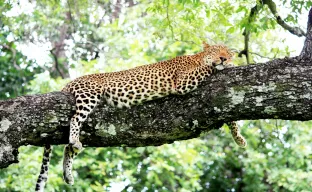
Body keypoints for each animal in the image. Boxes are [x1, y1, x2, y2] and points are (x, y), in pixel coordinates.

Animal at [34, 41, 246, 191]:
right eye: (217, 50)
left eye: (227, 52)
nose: (224, 58)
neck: (197, 57)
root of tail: (71, 82)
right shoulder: (183, 81)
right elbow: (208, 68)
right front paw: (225, 66)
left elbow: (230, 117)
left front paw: (239, 139)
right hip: (89, 96)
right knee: (75, 119)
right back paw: (74, 140)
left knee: (67, 148)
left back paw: (68, 172)